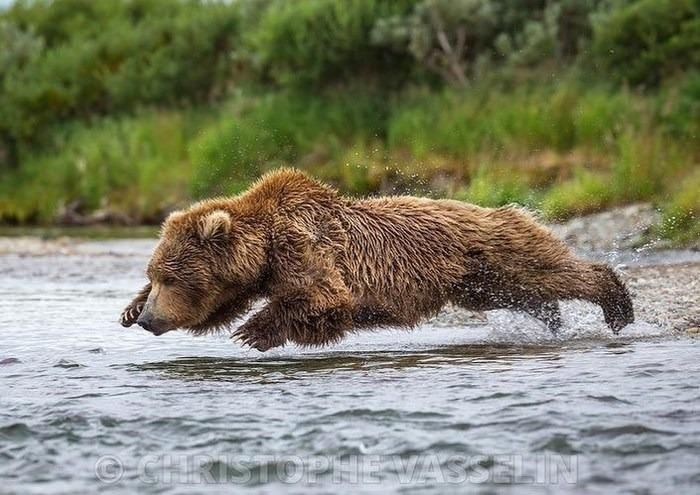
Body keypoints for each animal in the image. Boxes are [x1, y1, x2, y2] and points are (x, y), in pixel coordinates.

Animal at [120, 168, 634, 351]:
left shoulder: (304, 247)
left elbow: (326, 299)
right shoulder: (249, 276)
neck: (264, 250)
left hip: (498, 248)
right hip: (478, 279)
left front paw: (254, 332)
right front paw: (128, 307)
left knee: (552, 272)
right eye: (155, 274)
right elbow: (219, 306)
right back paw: (552, 319)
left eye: (171, 277)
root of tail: (510, 208)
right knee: (523, 293)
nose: (147, 319)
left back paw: (617, 307)